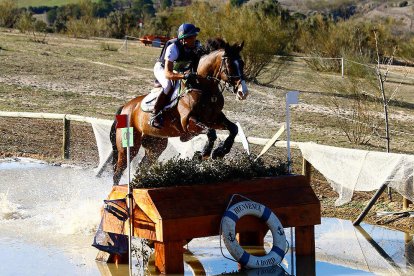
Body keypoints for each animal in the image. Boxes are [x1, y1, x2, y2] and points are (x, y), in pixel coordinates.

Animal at [108, 37, 249, 184]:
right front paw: (204, 154)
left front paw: (220, 151)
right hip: (129, 147)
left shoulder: (214, 119)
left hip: (156, 145)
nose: (243, 92)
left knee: (142, 166)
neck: (203, 87)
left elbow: (233, 129)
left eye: (242, 63)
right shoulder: (189, 122)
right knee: (118, 171)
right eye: (230, 65)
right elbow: (211, 133)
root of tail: (125, 107)